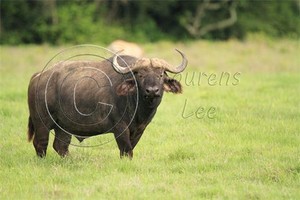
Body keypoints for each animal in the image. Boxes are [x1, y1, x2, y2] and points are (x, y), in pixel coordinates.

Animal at [28, 50, 188, 159]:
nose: (152, 90)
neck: (137, 107)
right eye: (140, 75)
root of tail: (38, 76)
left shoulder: (139, 130)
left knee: (60, 146)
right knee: (40, 143)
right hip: (41, 122)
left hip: (63, 127)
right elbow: (126, 150)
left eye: (160, 75)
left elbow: (131, 148)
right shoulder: (120, 128)